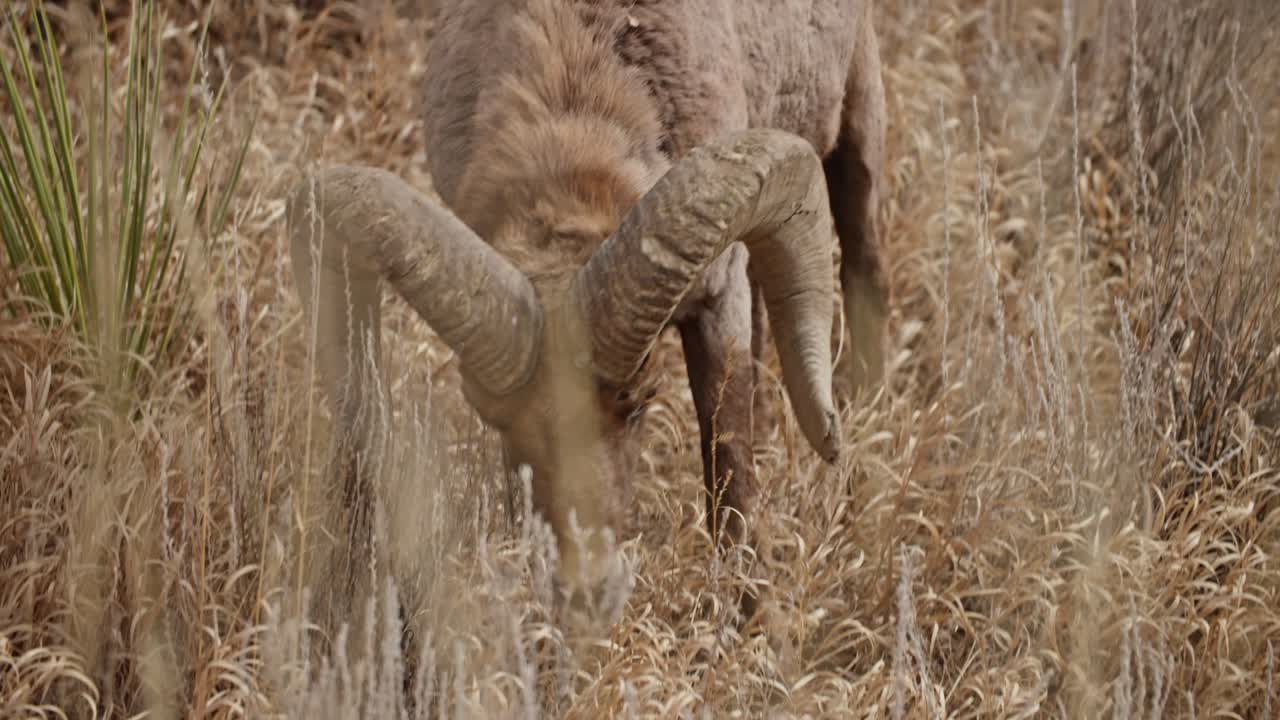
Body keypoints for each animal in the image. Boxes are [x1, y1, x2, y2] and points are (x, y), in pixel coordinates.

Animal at [286, 0, 888, 621]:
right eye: (490, 414)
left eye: (640, 398)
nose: (583, 591)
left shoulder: (718, 295)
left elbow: (728, 457)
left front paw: (755, 615)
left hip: (858, 108)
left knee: (863, 258)